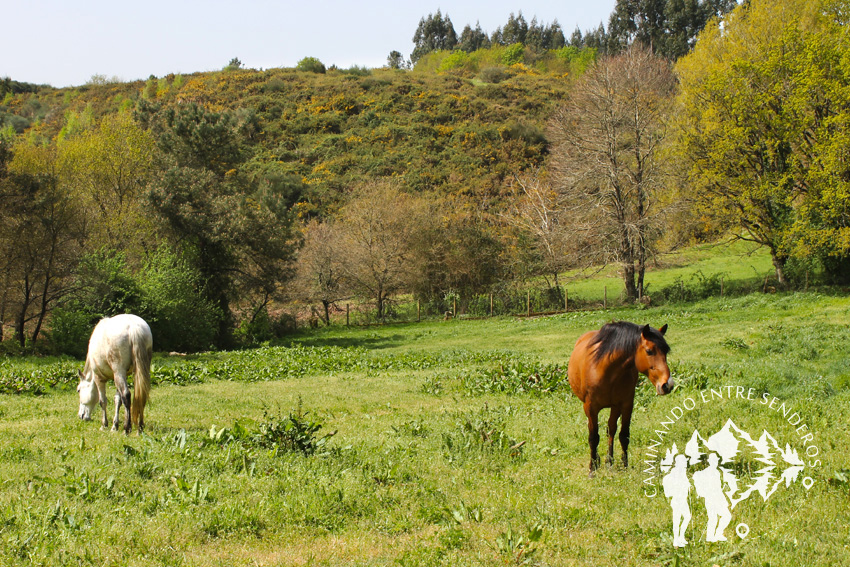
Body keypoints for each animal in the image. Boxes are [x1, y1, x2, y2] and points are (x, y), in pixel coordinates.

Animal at [568, 322, 668, 472]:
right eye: (649, 351)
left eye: (666, 351)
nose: (667, 384)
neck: (608, 370)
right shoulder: (591, 407)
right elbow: (593, 437)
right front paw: (592, 468)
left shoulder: (626, 404)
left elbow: (623, 435)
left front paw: (624, 465)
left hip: (615, 407)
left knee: (611, 430)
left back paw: (609, 461)